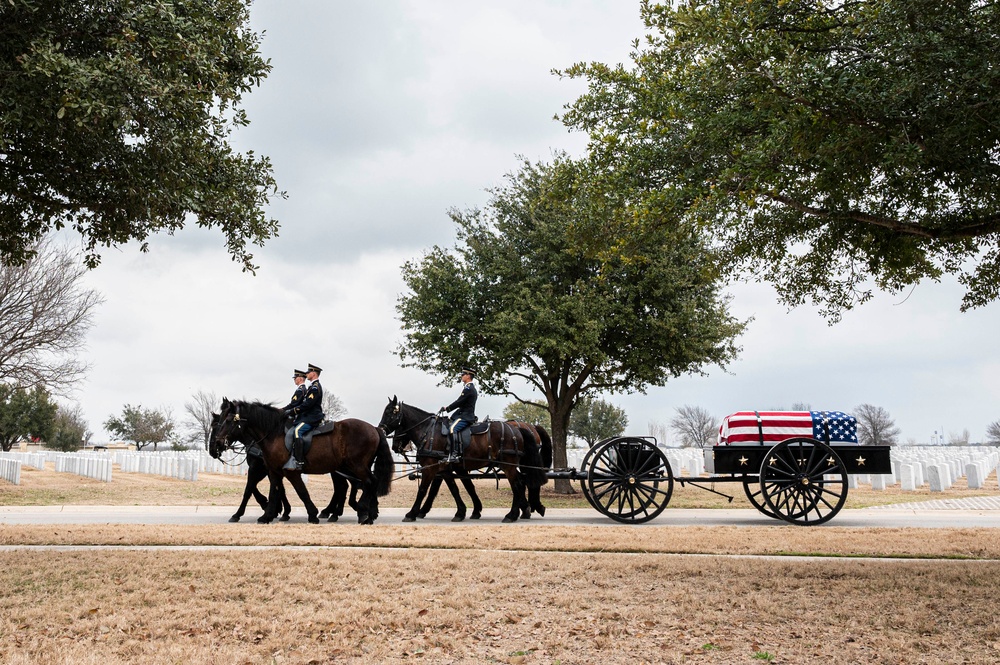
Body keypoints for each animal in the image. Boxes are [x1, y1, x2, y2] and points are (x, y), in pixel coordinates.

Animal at [212, 400, 394, 524]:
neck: (274, 433)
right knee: (360, 484)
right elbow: (274, 491)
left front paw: (312, 514)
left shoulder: (289, 472)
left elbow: (301, 492)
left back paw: (362, 512)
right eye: (220, 421)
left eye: (228, 421)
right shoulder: (273, 472)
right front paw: (268, 515)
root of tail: (374, 428)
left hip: (356, 466)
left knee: (367, 483)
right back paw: (364, 513)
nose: (217, 444)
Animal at [376, 396, 548, 520]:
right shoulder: (446, 470)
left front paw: (412, 513)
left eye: (390, 413)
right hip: (509, 465)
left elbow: (424, 490)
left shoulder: (431, 469)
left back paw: (512, 515)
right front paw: (463, 512)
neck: (429, 432)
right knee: (521, 483)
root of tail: (517, 429)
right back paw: (522, 511)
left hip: (508, 465)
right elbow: (457, 489)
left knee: (517, 485)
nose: (381, 429)